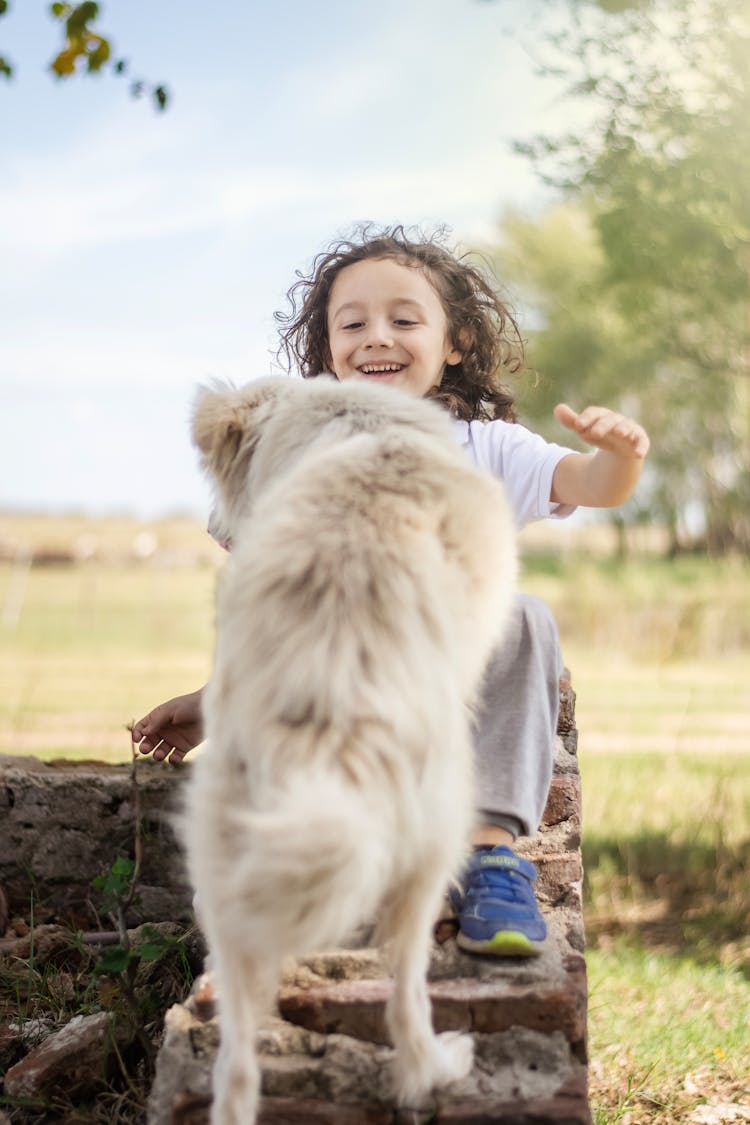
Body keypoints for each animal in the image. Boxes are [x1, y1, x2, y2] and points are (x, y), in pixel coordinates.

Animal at [182, 380, 517, 1125]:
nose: (212, 529)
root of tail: (330, 677)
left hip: (224, 846)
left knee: (237, 1060)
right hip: (434, 835)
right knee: (406, 994)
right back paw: (438, 1067)